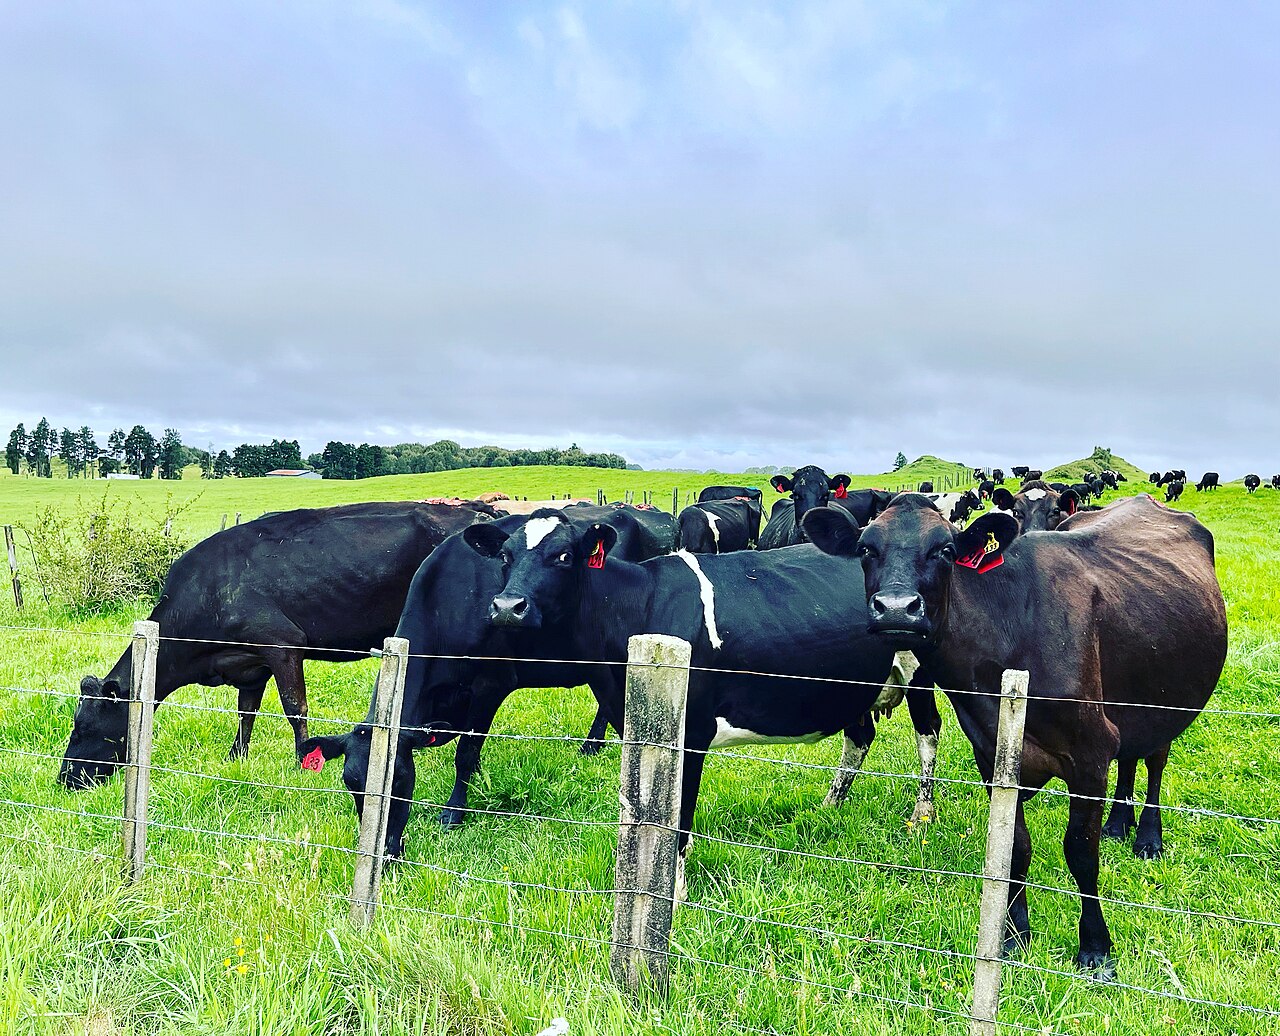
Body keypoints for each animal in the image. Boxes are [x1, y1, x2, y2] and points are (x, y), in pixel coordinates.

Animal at [58, 501, 499, 789]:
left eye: (82, 728)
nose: (65, 778)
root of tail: (479, 510)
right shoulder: (249, 667)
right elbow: (246, 712)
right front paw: (235, 759)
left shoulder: (283, 645)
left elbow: (295, 708)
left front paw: (305, 760)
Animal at [297, 506, 677, 853]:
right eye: (352, 783)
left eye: (400, 779)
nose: (384, 850)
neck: (447, 600)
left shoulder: (489, 685)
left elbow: (465, 753)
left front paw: (454, 811)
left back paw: (593, 744)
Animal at [448, 513, 945, 891]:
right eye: (505, 556)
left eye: (564, 556)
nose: (508, 606)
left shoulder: (692, 732)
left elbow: (678, 818)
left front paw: (674, 894)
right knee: (860, 735)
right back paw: (830, 807)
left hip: (920, 672)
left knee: (929, 733)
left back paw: (922, 817)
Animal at [801, 493, 1226, 979]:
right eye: (866, 549)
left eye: (945, 550)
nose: (895, 608)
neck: (1008, 641)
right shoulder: (993, 755)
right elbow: (1015, 848)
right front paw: (1013, 933)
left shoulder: (1090, 753)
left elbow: (1080, 851)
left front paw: (1096, 948)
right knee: (1131, 756)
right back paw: (1119, 823)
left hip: (1166, 704)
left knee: (1154, 760)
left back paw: (1147, 838)